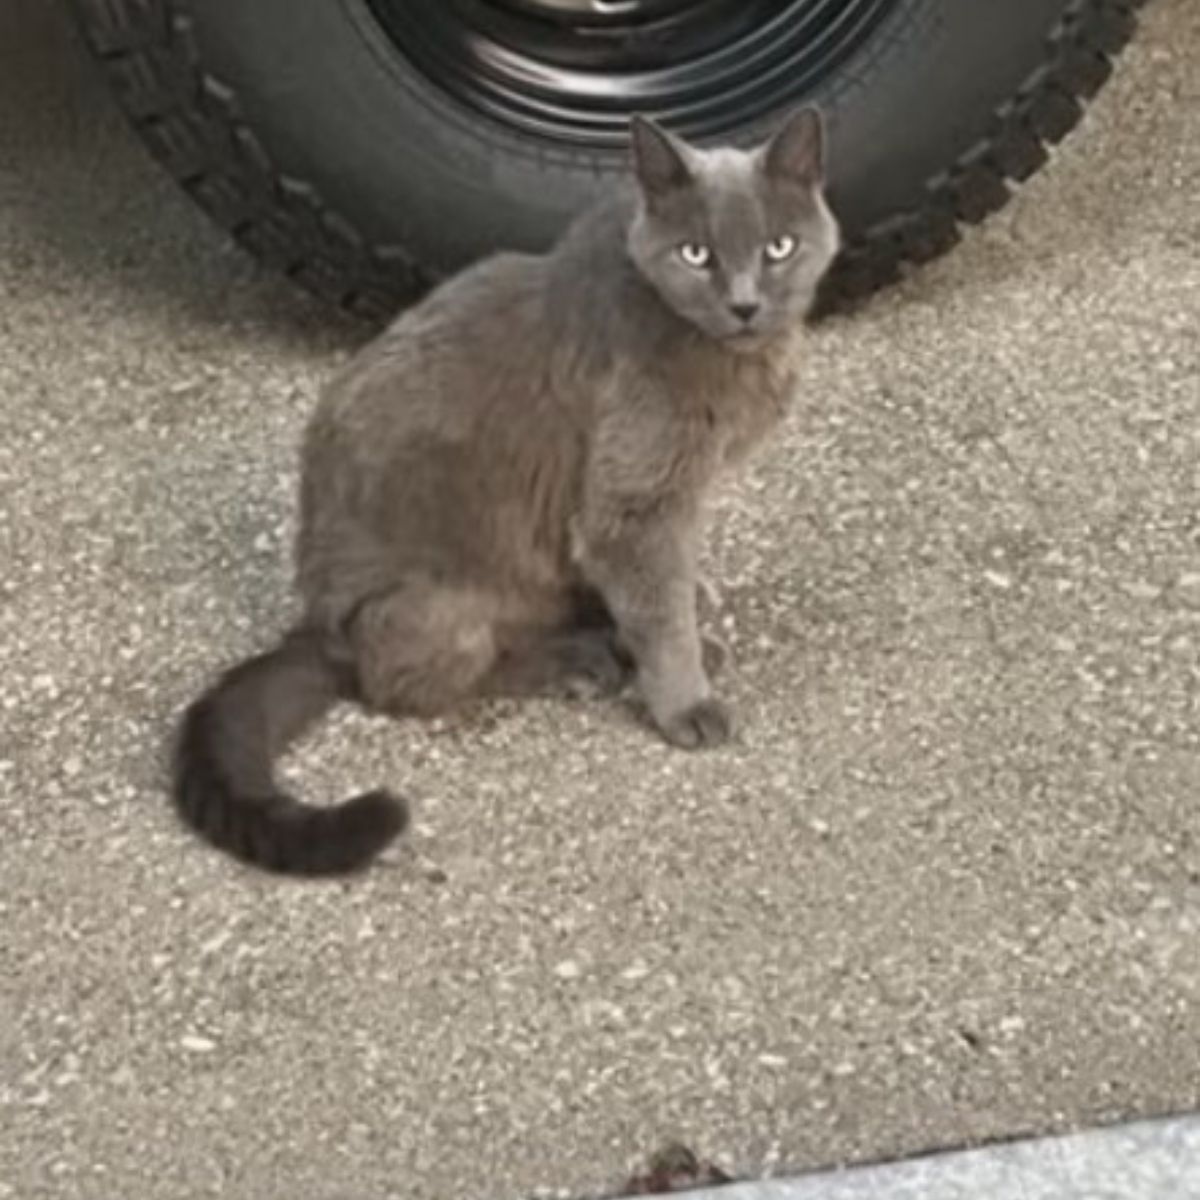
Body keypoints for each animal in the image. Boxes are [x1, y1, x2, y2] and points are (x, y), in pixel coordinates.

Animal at [177, 110, 840, 873]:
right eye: (697, 254)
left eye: (779, 247)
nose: (744, 304)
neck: (730, 356)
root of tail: (314, 627)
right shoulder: (635, 501)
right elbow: (656, 605)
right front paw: (685, 700)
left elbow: (653, 587)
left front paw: (687, 620)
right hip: (439, 606)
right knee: (409, 683)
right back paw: (575, 663)